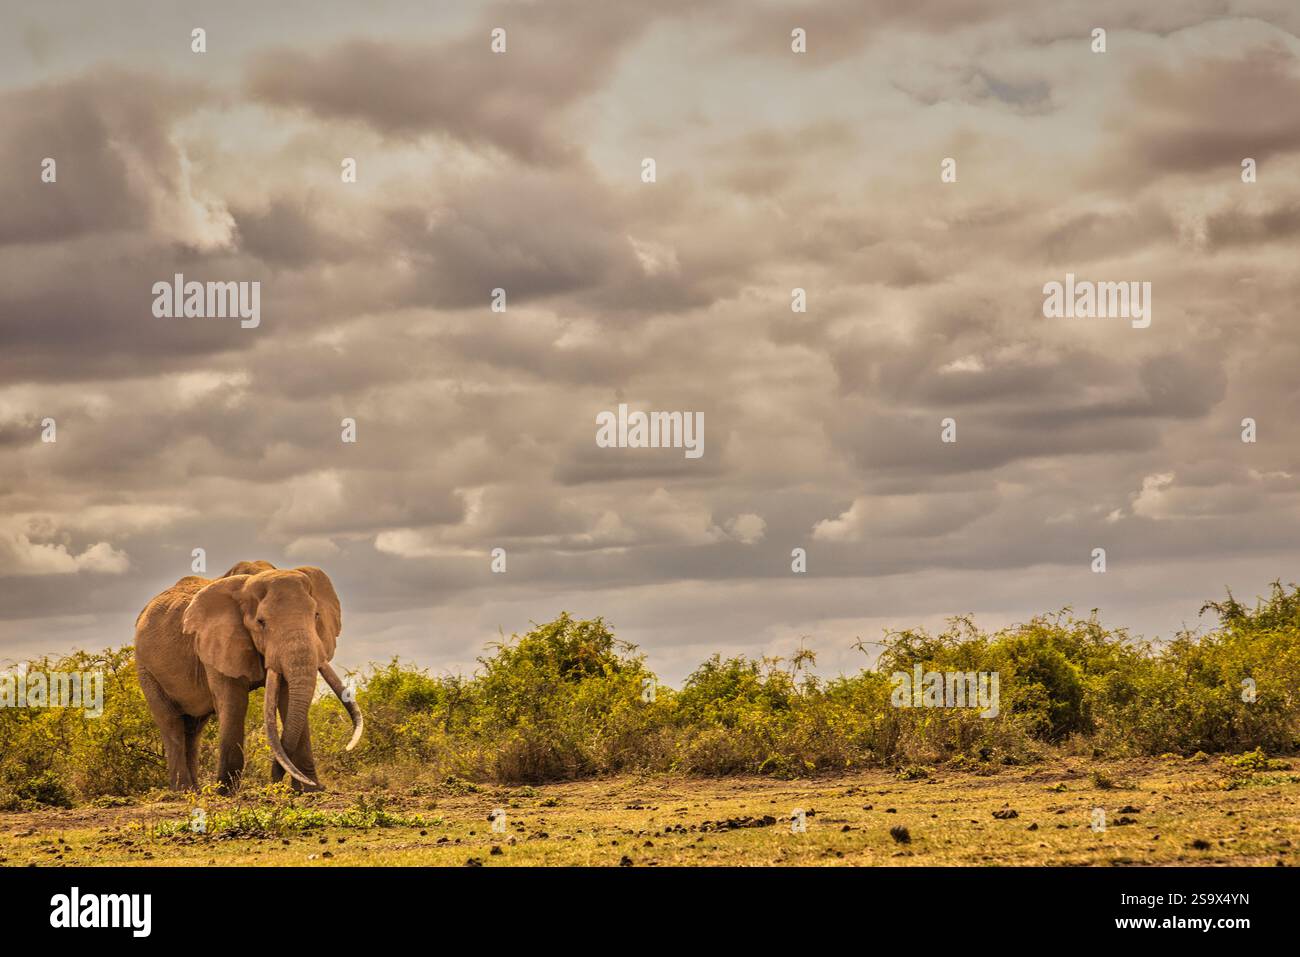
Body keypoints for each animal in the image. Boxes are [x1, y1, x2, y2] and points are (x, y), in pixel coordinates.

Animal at [134, 560, 363, 792]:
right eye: (261, 622)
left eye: (316, 616)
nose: (274, 780)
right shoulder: (215, 644)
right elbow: (234, 702)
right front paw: (225, 792)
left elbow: (288, 700)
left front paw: (310, 790)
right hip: (145, 669)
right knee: (170, 722)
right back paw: (183, 791)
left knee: (193, 727)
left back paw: (195, 791)